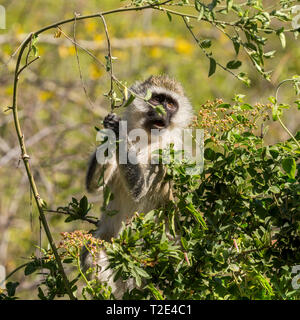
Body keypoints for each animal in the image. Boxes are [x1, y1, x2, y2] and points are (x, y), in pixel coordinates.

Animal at [82, 75, 195, 298]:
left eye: (170, 104)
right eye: (157, 100)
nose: (163, 111)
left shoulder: (168, 151)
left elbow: (139, 189)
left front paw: (118, 130)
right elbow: (94, 186)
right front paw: (110, 128)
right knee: (92, 250)